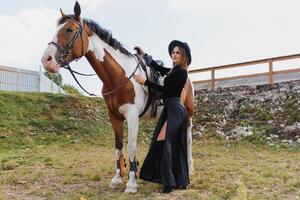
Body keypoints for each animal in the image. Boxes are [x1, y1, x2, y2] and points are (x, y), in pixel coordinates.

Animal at [41, 0, 195, 193]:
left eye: (69, 29)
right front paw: (116, 179)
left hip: (188, 116)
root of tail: (186, 74)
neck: (120, 77)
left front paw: (131, 184)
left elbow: (131, 148)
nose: (46, 60)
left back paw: (189, 169)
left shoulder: (132, 117)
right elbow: (118, 148)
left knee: (188, 139)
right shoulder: (114, 117)